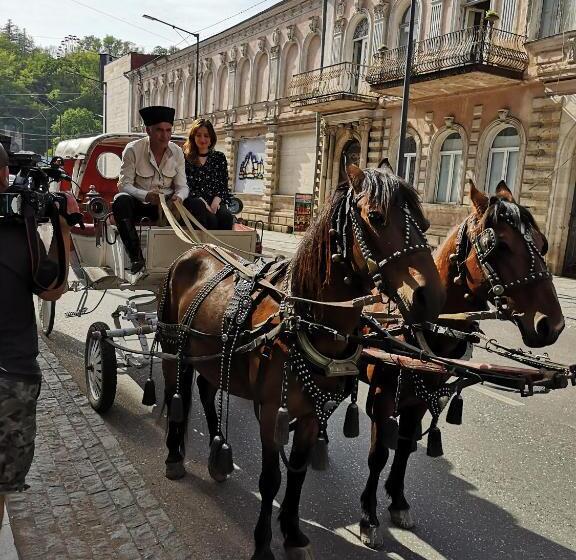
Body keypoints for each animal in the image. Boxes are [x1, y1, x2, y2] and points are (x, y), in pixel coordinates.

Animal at [158, 165, 446, 560]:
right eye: (376, 217)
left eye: (424, 221)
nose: (430, 297)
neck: (305, 319)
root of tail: (195, 249)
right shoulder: (271, 414)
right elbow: (270, 480)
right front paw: (263, 544)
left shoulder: (311, 413)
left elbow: (296, 472)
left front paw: (292, 533)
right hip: (174, 349)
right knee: (177, 393)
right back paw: (174, 454)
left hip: (213, 355)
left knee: (203, 389)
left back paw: (217, 448)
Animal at [358, 182, 564, 548]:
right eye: (500, 245)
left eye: (542, 244)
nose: (552, 325)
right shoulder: (382, 396)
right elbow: (379, 453)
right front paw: (369, 516)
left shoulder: (420, 396)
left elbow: (405, 448)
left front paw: (398, 500)